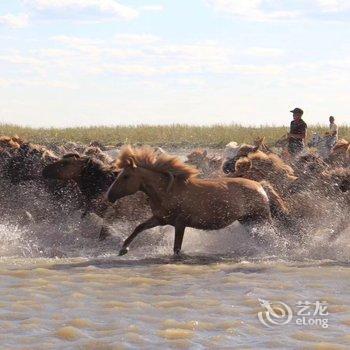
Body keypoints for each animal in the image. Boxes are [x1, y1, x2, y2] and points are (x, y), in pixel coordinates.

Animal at [105, 146, 284, 256]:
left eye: (126, 176)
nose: (109, 196)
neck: (168, 190)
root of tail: (260, 186)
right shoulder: (160, 219)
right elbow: (139, 227)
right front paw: (123, 249)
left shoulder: (180, 224)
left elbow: (176, 249)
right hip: (248, 220)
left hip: (260, 219)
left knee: (274, 236)